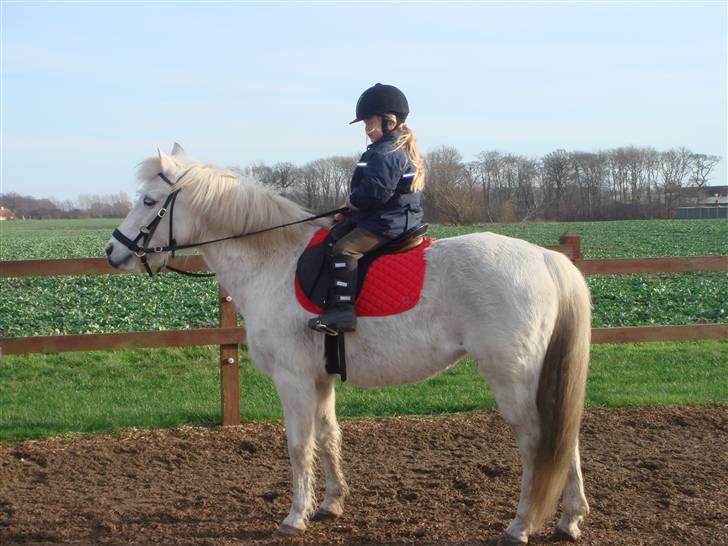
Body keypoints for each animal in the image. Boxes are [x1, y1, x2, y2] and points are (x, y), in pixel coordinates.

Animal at [105, 144, 592, 544]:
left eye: (148, 201)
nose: (113, 250)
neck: (274, 261)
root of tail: (546, 258)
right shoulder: (320, 379)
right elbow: (328, 436)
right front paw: (330, 504)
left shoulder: (293, 380)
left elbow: (299, 445)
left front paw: (295, 516)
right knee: (563, 440)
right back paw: (568, 520)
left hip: (511, 378)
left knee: (536, 441)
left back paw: (521, 525)